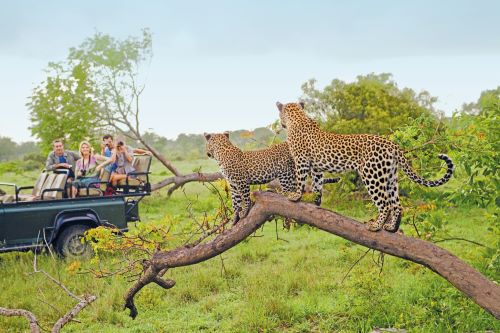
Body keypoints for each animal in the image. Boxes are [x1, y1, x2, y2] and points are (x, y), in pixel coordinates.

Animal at [204, 132, 340, 223]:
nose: (207, 153)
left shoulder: (241, 181)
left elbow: (245, 198)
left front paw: (245, 211)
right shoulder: (232, 183)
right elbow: (235, 200)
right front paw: (236, 215)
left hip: (285, 171)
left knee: (289, 190)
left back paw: (278, 193)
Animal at [276, 100, 456, 232]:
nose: (281, 123)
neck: (298, 117)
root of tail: (392, 144)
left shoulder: (301, 160)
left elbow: (301, 180)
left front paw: (295, 196)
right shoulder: (317, 167)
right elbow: (317, 185)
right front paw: (316, 202)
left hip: (372, 175)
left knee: (385, 204)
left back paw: (376, 226)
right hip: (390, 177)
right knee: (397, 204)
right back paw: (391, 227)